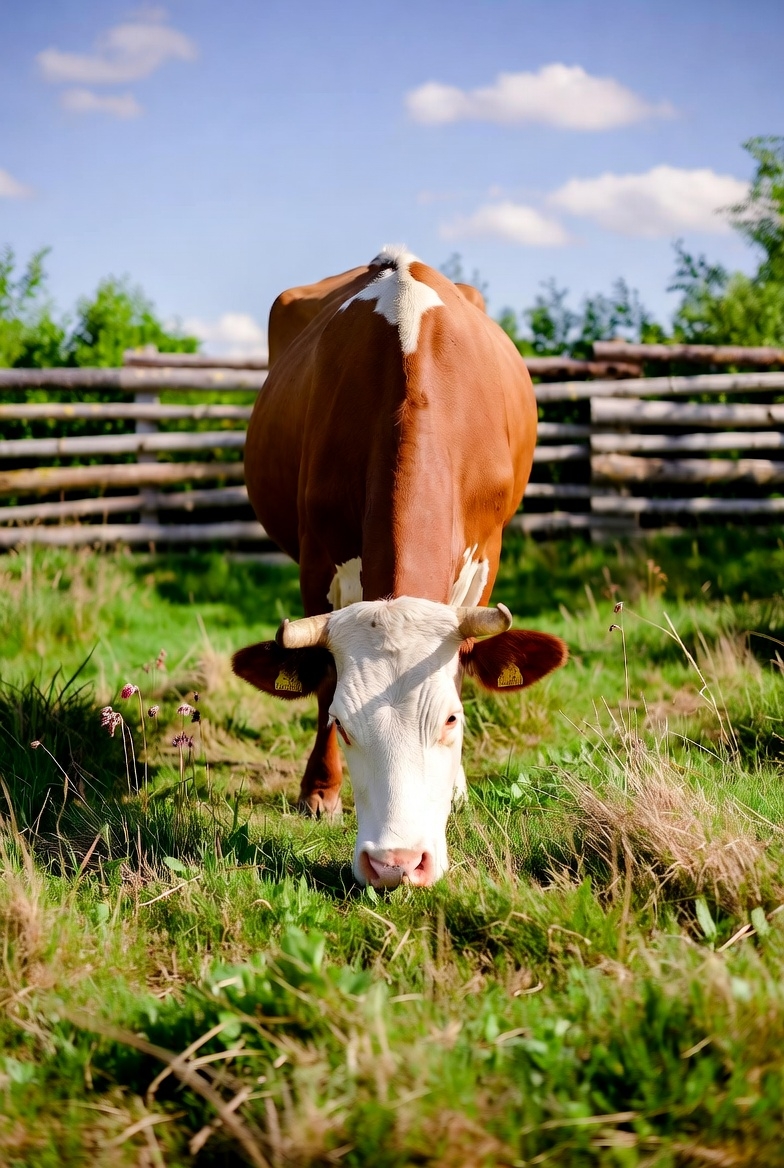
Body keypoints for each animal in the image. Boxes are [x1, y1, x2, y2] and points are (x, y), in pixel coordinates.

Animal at [233, 246, 567, 889]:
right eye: (344, 725)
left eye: (452, 721)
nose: (396, 864)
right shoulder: (317, 559)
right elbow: (322, 682)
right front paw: (320, 791)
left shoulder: (486, 553)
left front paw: (456, 786)